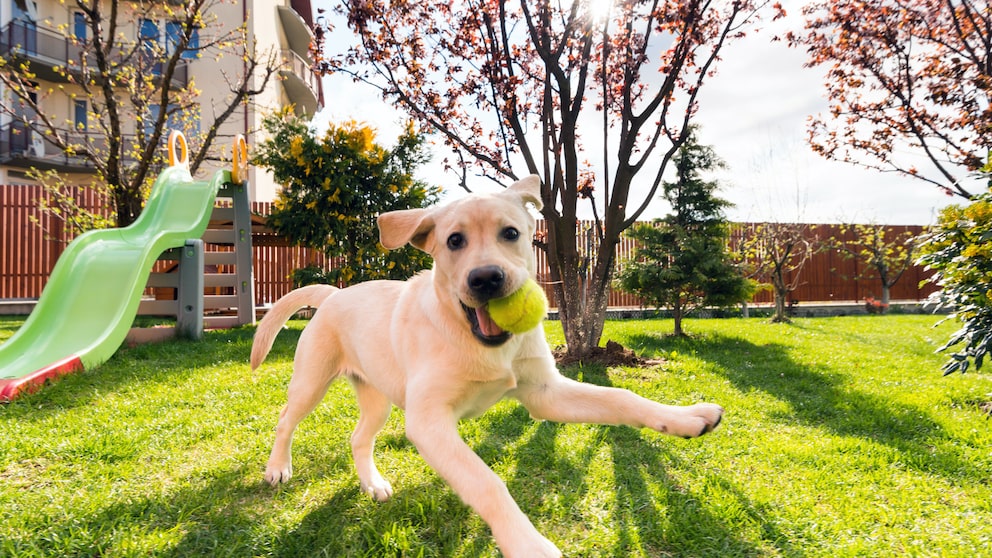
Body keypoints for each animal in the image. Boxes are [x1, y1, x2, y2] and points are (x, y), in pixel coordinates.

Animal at [252, 176, 724, 558]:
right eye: (454, 241)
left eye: (510, 233)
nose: (486, 279)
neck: (477, 340)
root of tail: (334, 292)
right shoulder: (429, 421)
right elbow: (487, 482)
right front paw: (528, 544)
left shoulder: (544, 393)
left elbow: (621, 397)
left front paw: (685, 417)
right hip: (312, 381)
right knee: (285, 419)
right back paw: (277, 469)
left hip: (378, 397)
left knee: (358, 437)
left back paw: (373, 484)